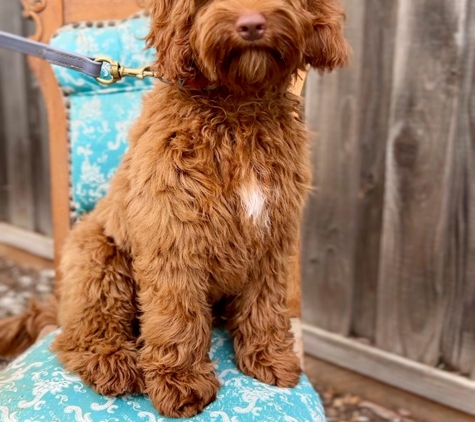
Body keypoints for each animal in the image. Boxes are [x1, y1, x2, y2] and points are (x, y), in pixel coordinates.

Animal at [0, 0, 350, 416]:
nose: (251, 24)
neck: (238, 105)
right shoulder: (173, 231)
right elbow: (177, 313)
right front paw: (181, 383)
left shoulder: (273, 236)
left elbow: (266, 301)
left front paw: (269, 357)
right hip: (98, 258)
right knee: (81, 333)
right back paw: (113, 363)